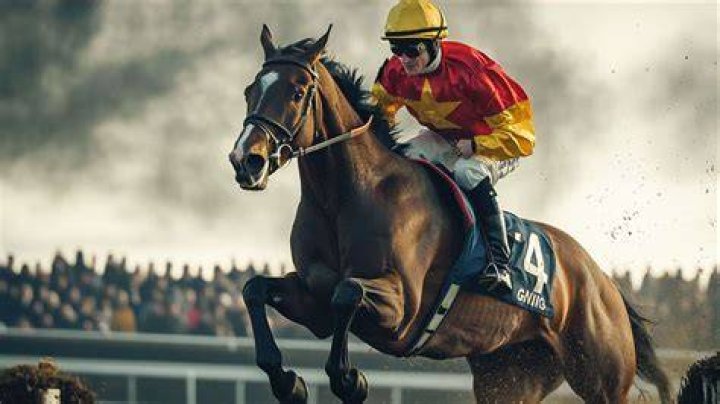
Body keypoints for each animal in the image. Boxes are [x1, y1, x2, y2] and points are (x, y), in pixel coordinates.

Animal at [228, 25, 672, 404]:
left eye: (298, 91)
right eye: (250, 89)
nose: (246, 160)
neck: (343, 198)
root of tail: (603, 280)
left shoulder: (401, 310)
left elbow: (348, 292)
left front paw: (350, 380)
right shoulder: (314, 299)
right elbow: (255, 289)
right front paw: (289, 382)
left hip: (601, 378)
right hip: (509, 374)